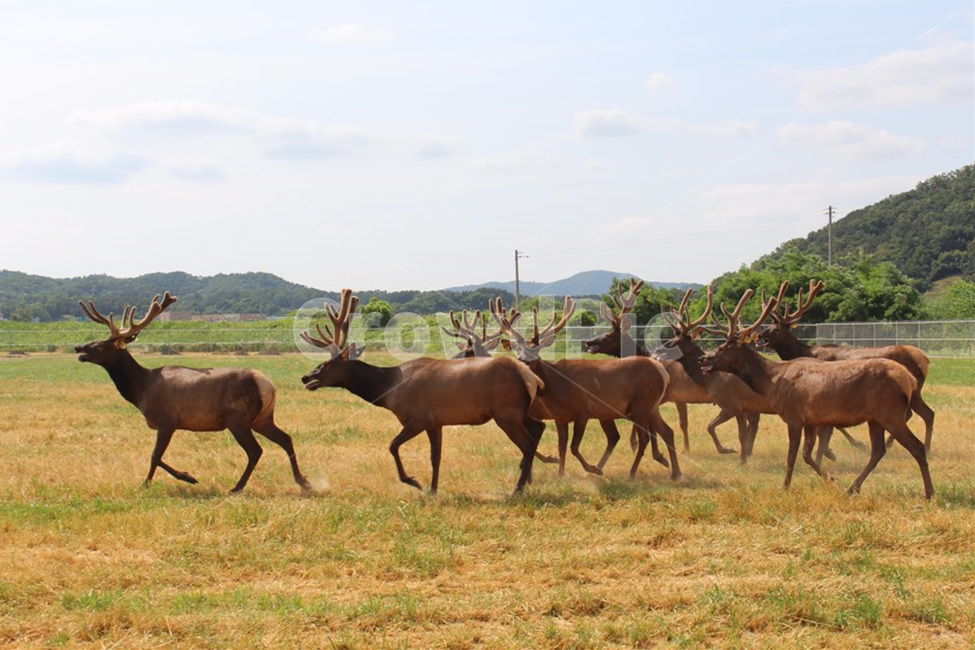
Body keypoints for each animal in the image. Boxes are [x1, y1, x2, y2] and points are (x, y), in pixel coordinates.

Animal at [75, 292, 312, 494]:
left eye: (103, 344)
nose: (78, 347)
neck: (141, 391)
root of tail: (266, 385)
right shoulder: (169, 423)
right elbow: (158, 456)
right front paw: (187, 475)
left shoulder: (167, 420)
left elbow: (154, 456)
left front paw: (147, 484)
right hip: (262, 418)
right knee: (286, 438)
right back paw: (303, 481)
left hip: (239, 419)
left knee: (255, 451)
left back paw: (237, 487)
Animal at [300, 289, 547, 495]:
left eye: (326, 364)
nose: (306, 377)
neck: (388, 391)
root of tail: (530, 376)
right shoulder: (435, 422)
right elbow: (435, 457)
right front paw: (433, 490)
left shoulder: (418, 418)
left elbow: (392, 446)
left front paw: (413, 481)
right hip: (519, 412)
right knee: (537, 429)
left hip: (506, 412)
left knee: (527, 445)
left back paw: (517, 490)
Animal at [490, 296, 681, 481]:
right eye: (517, 351)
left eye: (535, 351)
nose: (523, 362)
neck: (555, 388)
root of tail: (662, 371)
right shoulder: (559, 417)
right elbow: (562, 447)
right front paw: (561, 474)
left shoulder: (583, 411)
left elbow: (574, 447)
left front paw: (593, 469)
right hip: (651, 406)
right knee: (667, 432)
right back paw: (675, 473)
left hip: (641, 405)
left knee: (644, 438)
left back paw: (632, 473)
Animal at [756, 279, 935, 454]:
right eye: (769, 325)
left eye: (776, 329)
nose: (759, 335)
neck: (804, 352)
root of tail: (924, 359)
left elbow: (835, 424)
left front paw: (853, 444)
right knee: (920, 413)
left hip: (914, 390)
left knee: (925, 414)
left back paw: (921, 447)